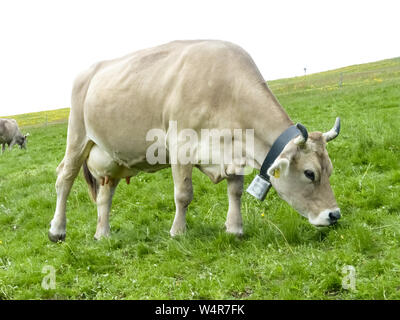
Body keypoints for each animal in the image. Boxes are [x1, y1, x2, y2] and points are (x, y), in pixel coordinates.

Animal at [47, 39, 340, 242]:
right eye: (310, 173)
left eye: (330, 170)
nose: (334, 215)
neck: (227, 91)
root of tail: (89, 71)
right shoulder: (179, 147)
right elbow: (183, 194)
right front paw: (178, 232)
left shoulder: (234, 151)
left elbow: (235, 191)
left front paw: (234, 228)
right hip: (77, 135)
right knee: (64, 177)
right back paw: (57, 230)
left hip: (113, 159)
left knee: (104, 195)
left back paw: (103, 234)